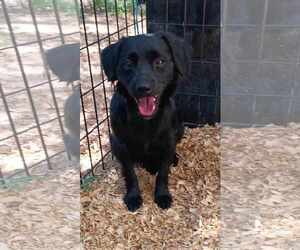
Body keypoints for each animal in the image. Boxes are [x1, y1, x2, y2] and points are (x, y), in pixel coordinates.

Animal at [100, 31, 190, 211]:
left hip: (180, 128)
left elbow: (163, 173)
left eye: (160, 61)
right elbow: (130, 173)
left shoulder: (168, 142)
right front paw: (133, 196)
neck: (145, 121)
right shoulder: (121, 144)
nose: (143, 88)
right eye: (128, 63)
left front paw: (162, 195)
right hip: (112, 139)